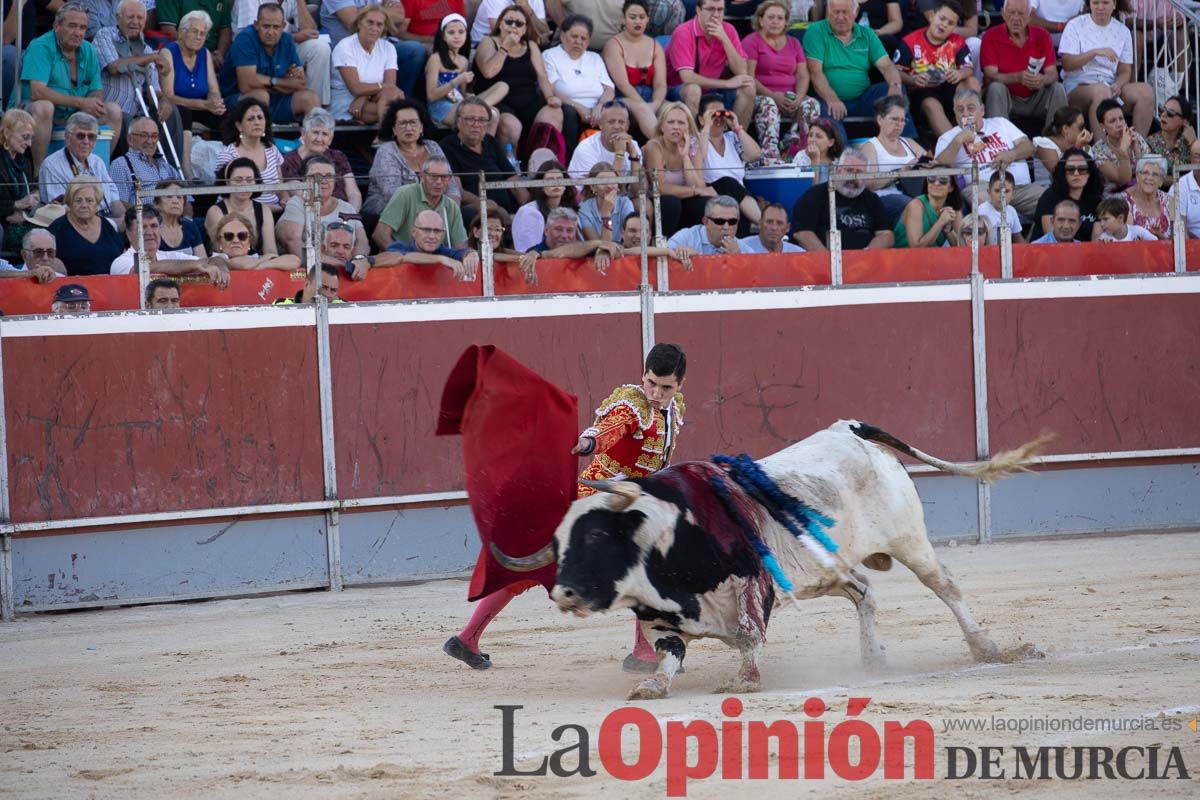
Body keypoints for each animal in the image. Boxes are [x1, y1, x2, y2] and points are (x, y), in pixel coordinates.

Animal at [492, 422, 1046, 695]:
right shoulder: (658, 617)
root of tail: (850, 431)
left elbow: (750, 634)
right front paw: (653, 686)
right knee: (864, 593)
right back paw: (873, 659)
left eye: (596, 539)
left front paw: (745, 680)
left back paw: (986, 647)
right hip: (828, 569)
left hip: (910, 540)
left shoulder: (752, 584)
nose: (564, 592)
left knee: (944, 586)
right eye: (561, 547)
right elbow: (670, 655)